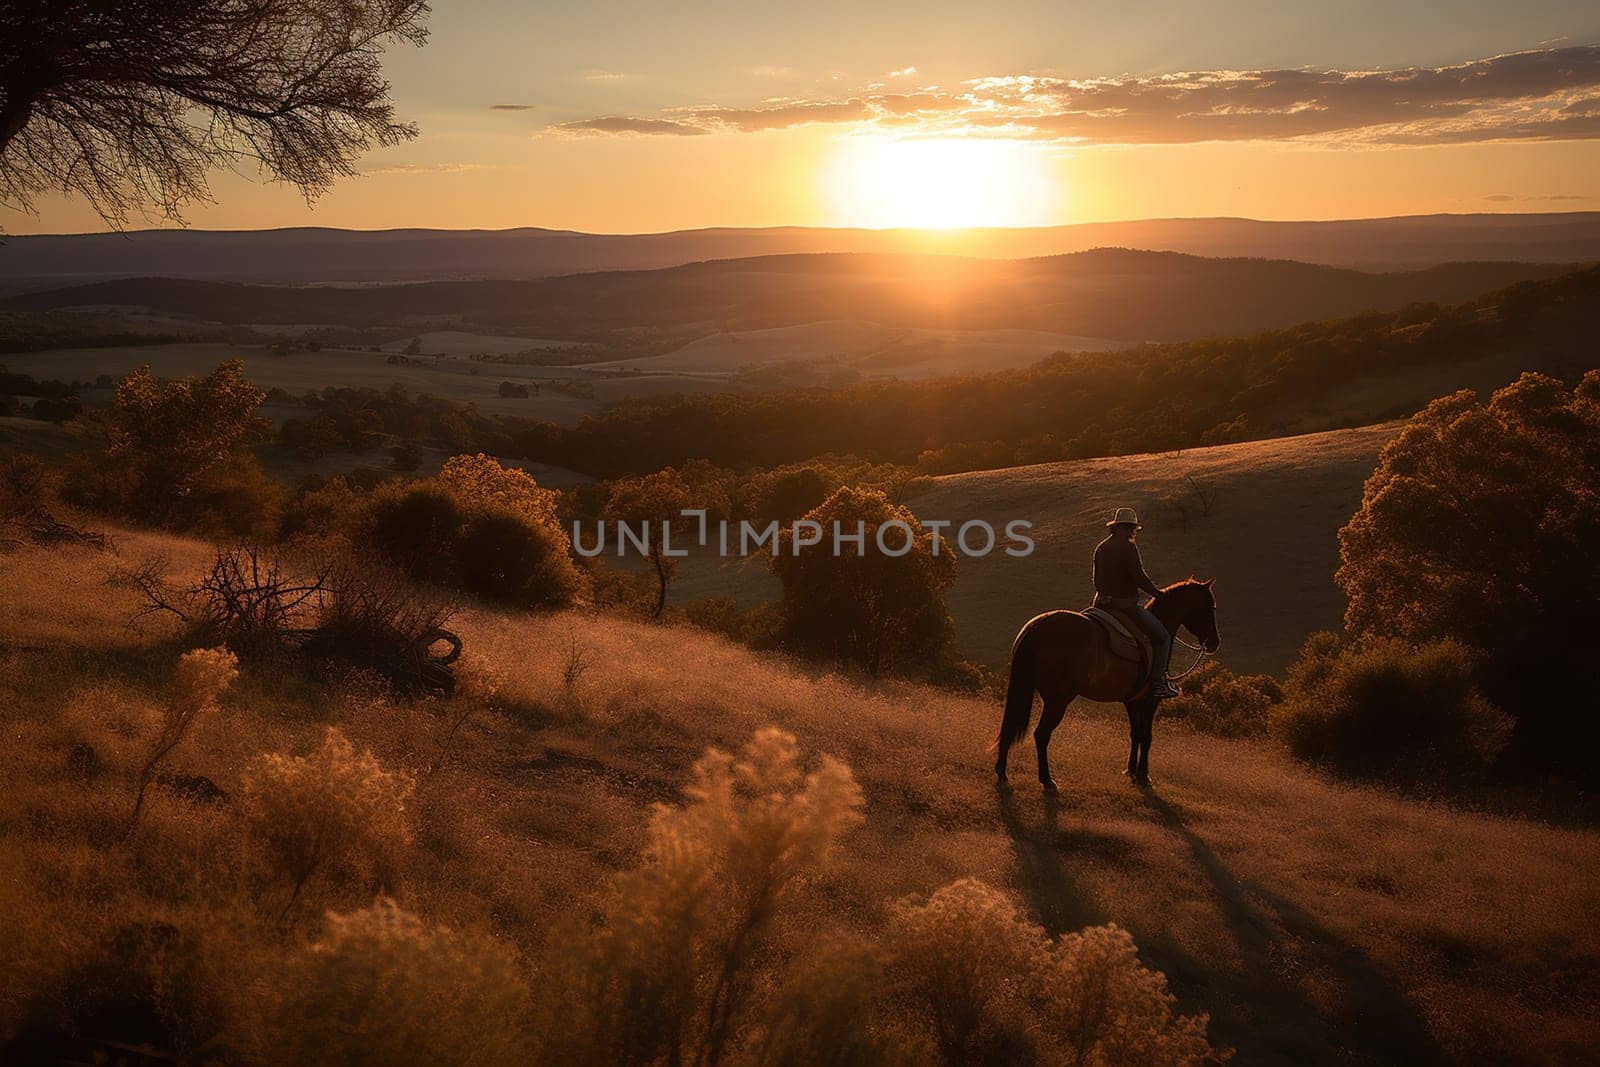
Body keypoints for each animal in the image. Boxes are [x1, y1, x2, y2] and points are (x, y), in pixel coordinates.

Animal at [992, 575, 1216, 793]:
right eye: (1210, 606)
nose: (1215, 643)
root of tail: (1038, 628)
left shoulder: (1132, 701)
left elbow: (1135, 733)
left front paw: (1130, 771)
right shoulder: (1150, 700)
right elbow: (1147, 736)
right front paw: (1144, 776)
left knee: (1010, 728)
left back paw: (1002, 773)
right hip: (1057, 701)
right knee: (1041, 735)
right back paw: (1047, 781)